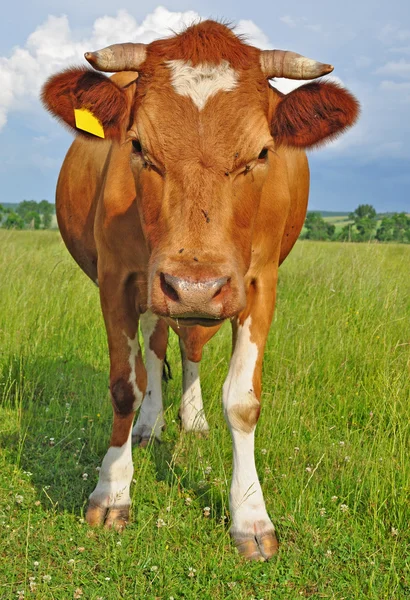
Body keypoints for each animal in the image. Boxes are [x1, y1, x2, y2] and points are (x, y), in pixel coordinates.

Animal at [40, 19, 358, 564]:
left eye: (262, 152)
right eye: (138, 146)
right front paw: (112, 492)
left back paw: (191, 417)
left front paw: (251, 517)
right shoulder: (118, 279)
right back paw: (151, 424)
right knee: (155, 344)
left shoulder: (259, 282)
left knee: (187, 347)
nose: (194, 287)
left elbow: (243, 400)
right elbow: (125, 385)